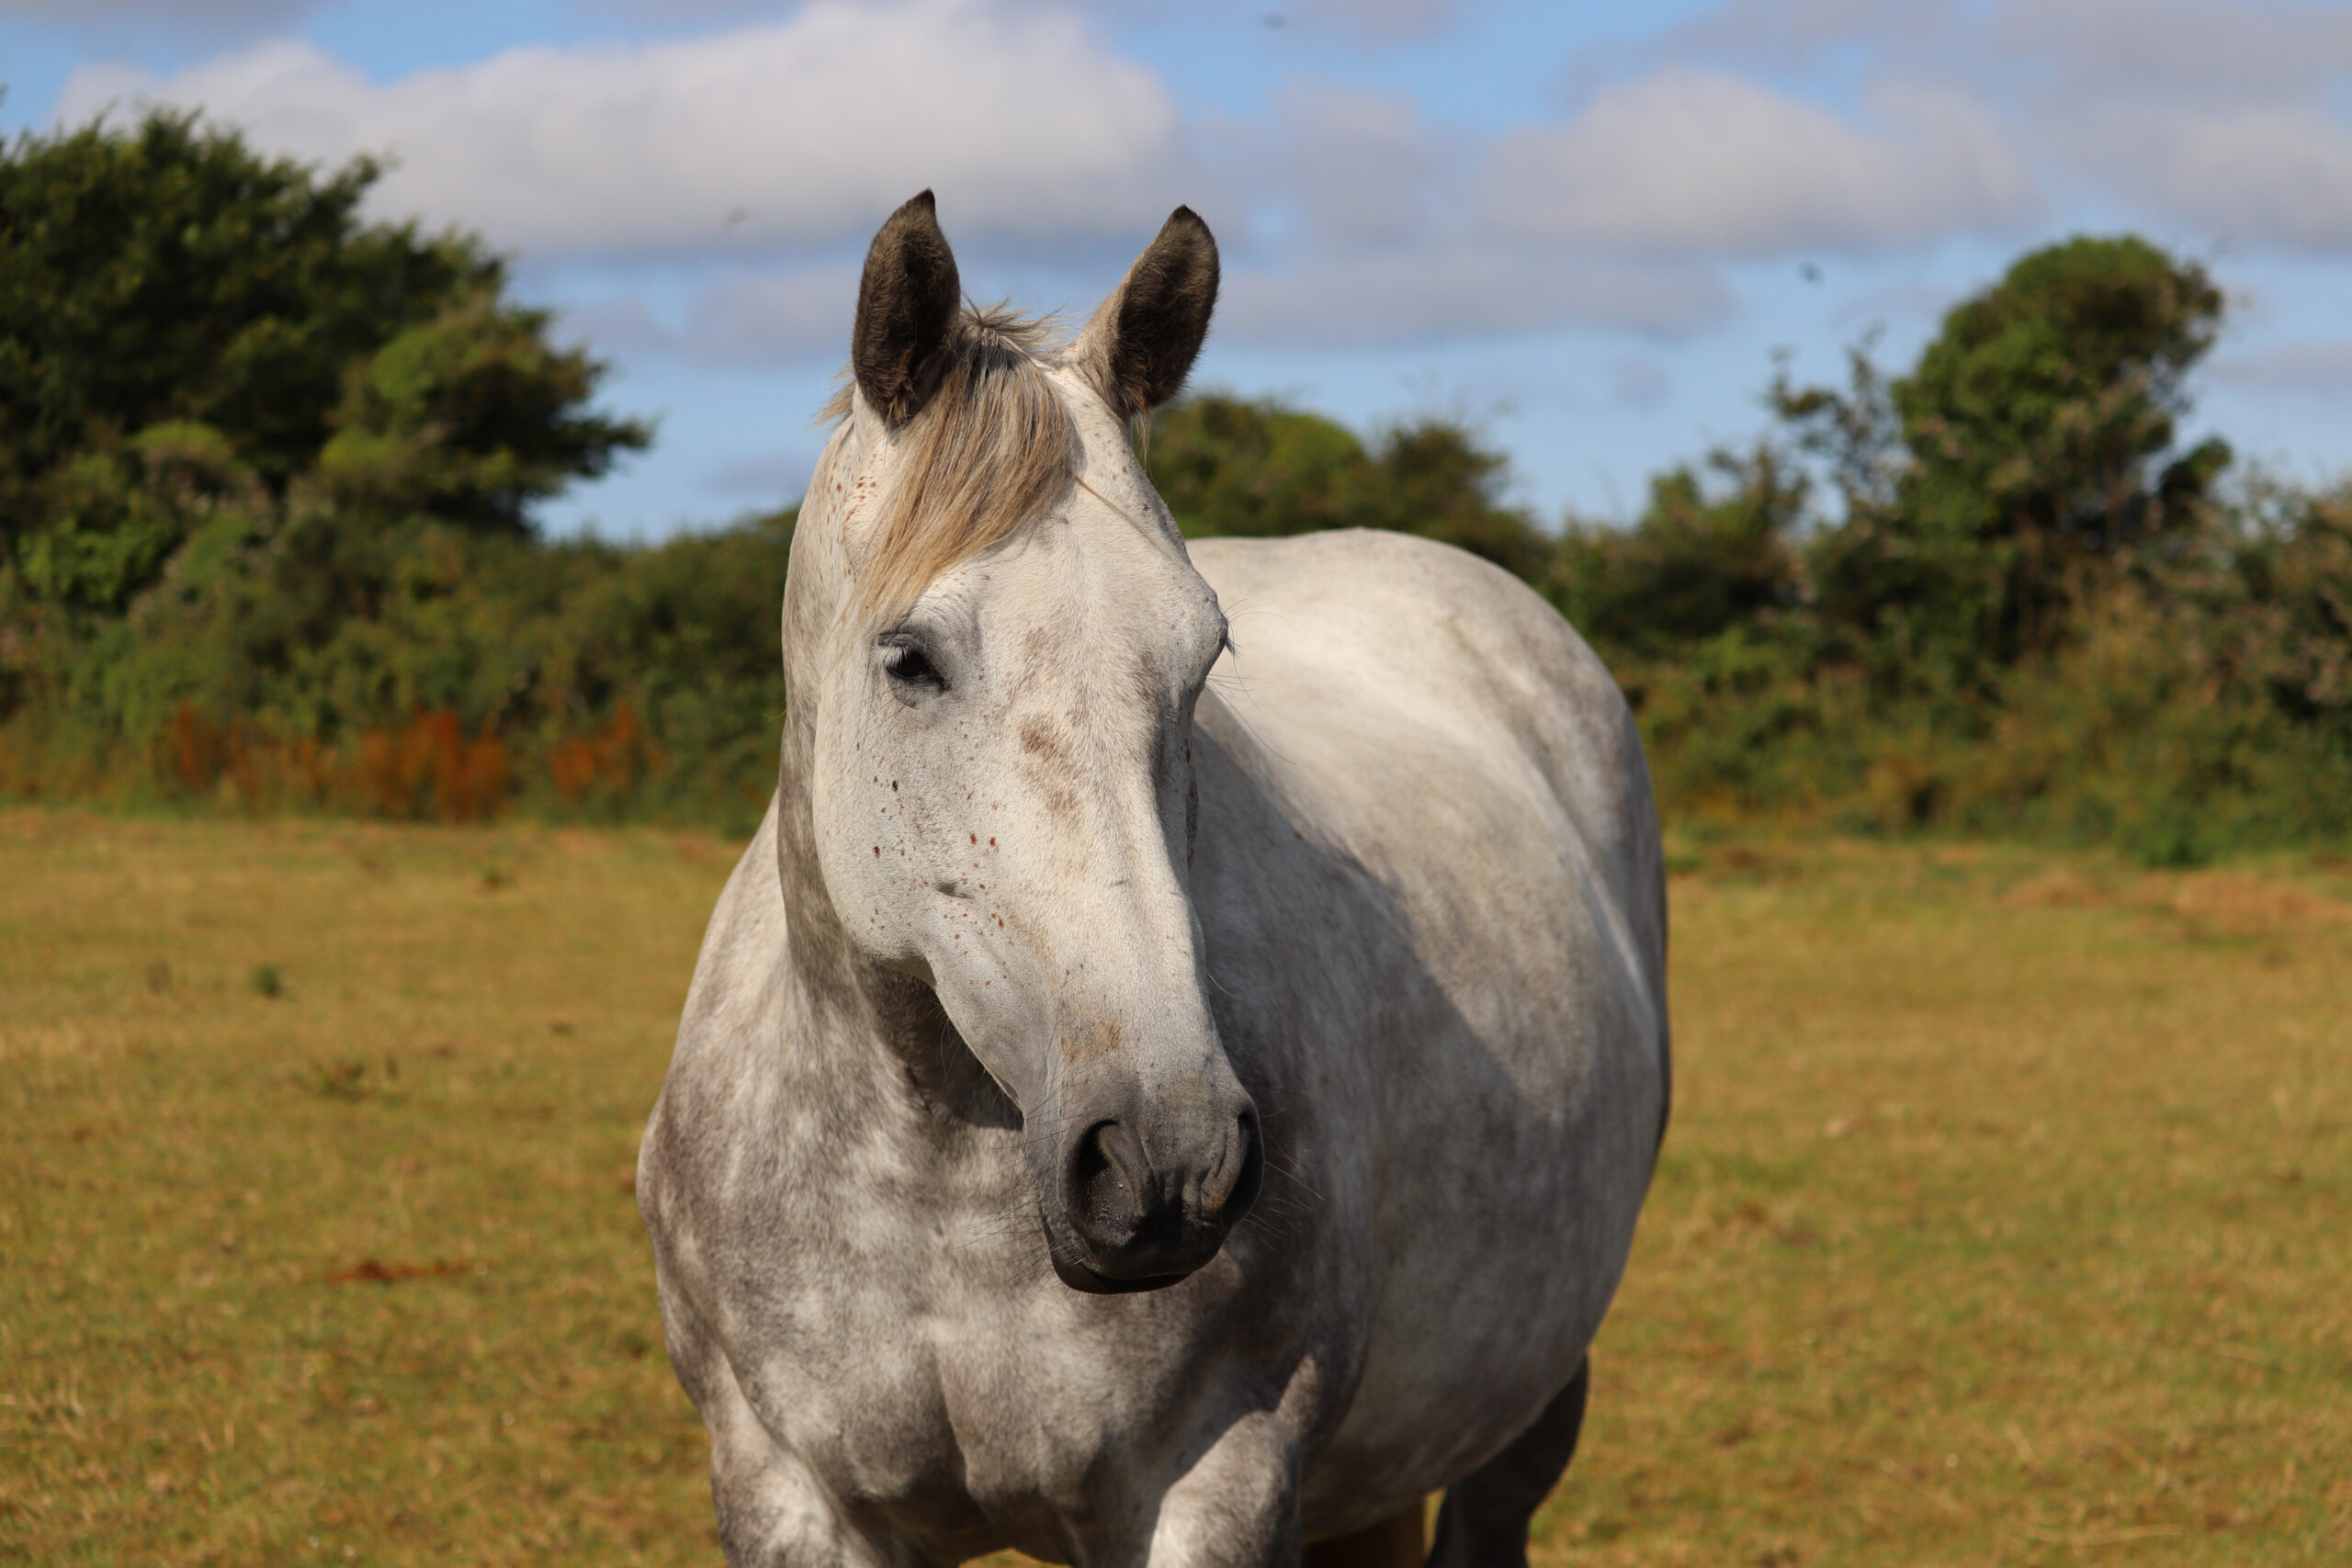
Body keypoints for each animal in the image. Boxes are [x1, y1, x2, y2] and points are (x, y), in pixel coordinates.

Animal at [639, 192, 1674, 1568]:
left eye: (1205, 656)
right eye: (910, 658)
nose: (1164, 1159)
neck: (929, 1181)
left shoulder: (1213, 1484)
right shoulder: (788, 1489)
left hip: (1527, 1407)